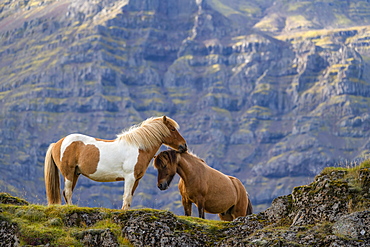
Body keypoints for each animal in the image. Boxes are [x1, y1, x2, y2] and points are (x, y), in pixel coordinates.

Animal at [44, 116, 186, 209]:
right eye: (173, 129)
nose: (184, 146)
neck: (138, 147)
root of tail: (57, 143)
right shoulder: (129, 177)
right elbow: (126, 196)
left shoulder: (136, 179)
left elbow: (129, 198)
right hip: (68, 173)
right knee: (67, 192)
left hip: (75, 174)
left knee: (66, 192)